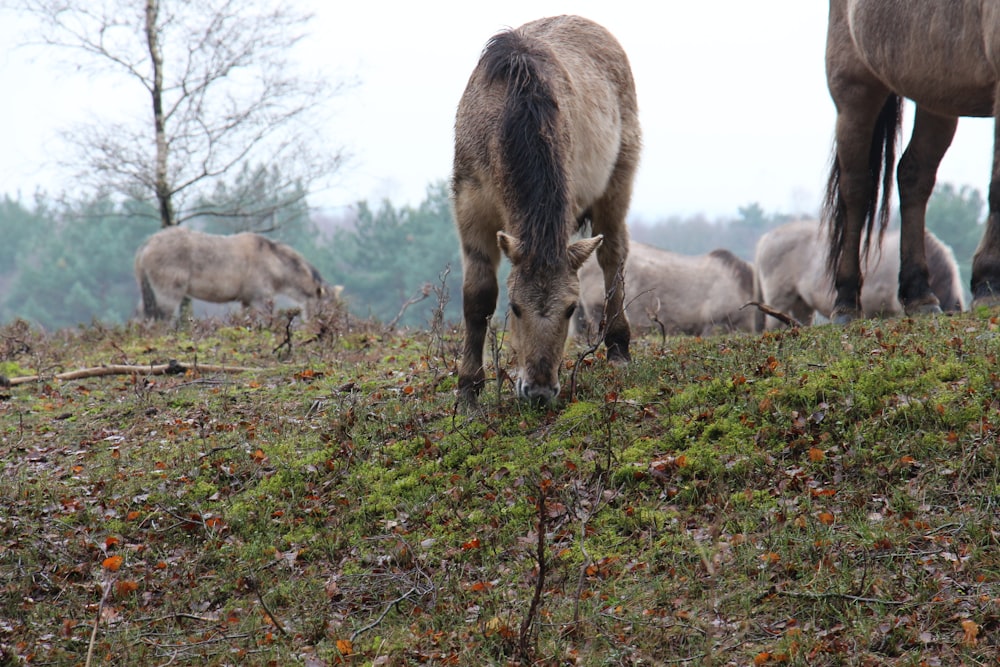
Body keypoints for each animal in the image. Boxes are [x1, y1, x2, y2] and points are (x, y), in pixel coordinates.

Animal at [133, 227, 326, 320]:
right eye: (325, 307)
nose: (320, 332)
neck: (273, 260)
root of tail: (148, 244)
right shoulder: (261, 299)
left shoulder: (247, 301)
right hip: (168, 294)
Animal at [454, 13, 640, 404]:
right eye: (514, 307)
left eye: (570, 308)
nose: (539, 390)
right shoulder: (470, 205)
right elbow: (478, 297)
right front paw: (468, 388)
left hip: (618, 182)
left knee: (613, 256)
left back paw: (618, 346)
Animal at [824, 0, 1000, 324]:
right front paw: (989, 284)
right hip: (855, 91)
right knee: (856, 191)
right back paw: (845, 303)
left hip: (938, 95)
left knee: (913, 176)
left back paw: (919, 294)